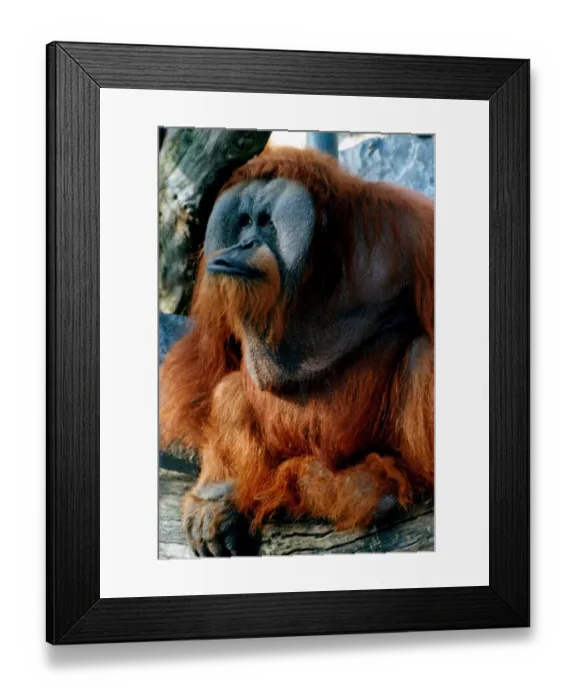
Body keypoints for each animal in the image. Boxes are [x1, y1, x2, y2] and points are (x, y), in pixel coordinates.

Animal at [160, 146, 434, 557]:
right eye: (244, 222)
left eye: (267, 222)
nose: (244, 244)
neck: (314, 276)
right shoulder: (216, 272)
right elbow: (206, 365)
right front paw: (212, 498)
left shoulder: (416, 232)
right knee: (230, 390)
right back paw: (226, 494)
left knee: (422, 353)